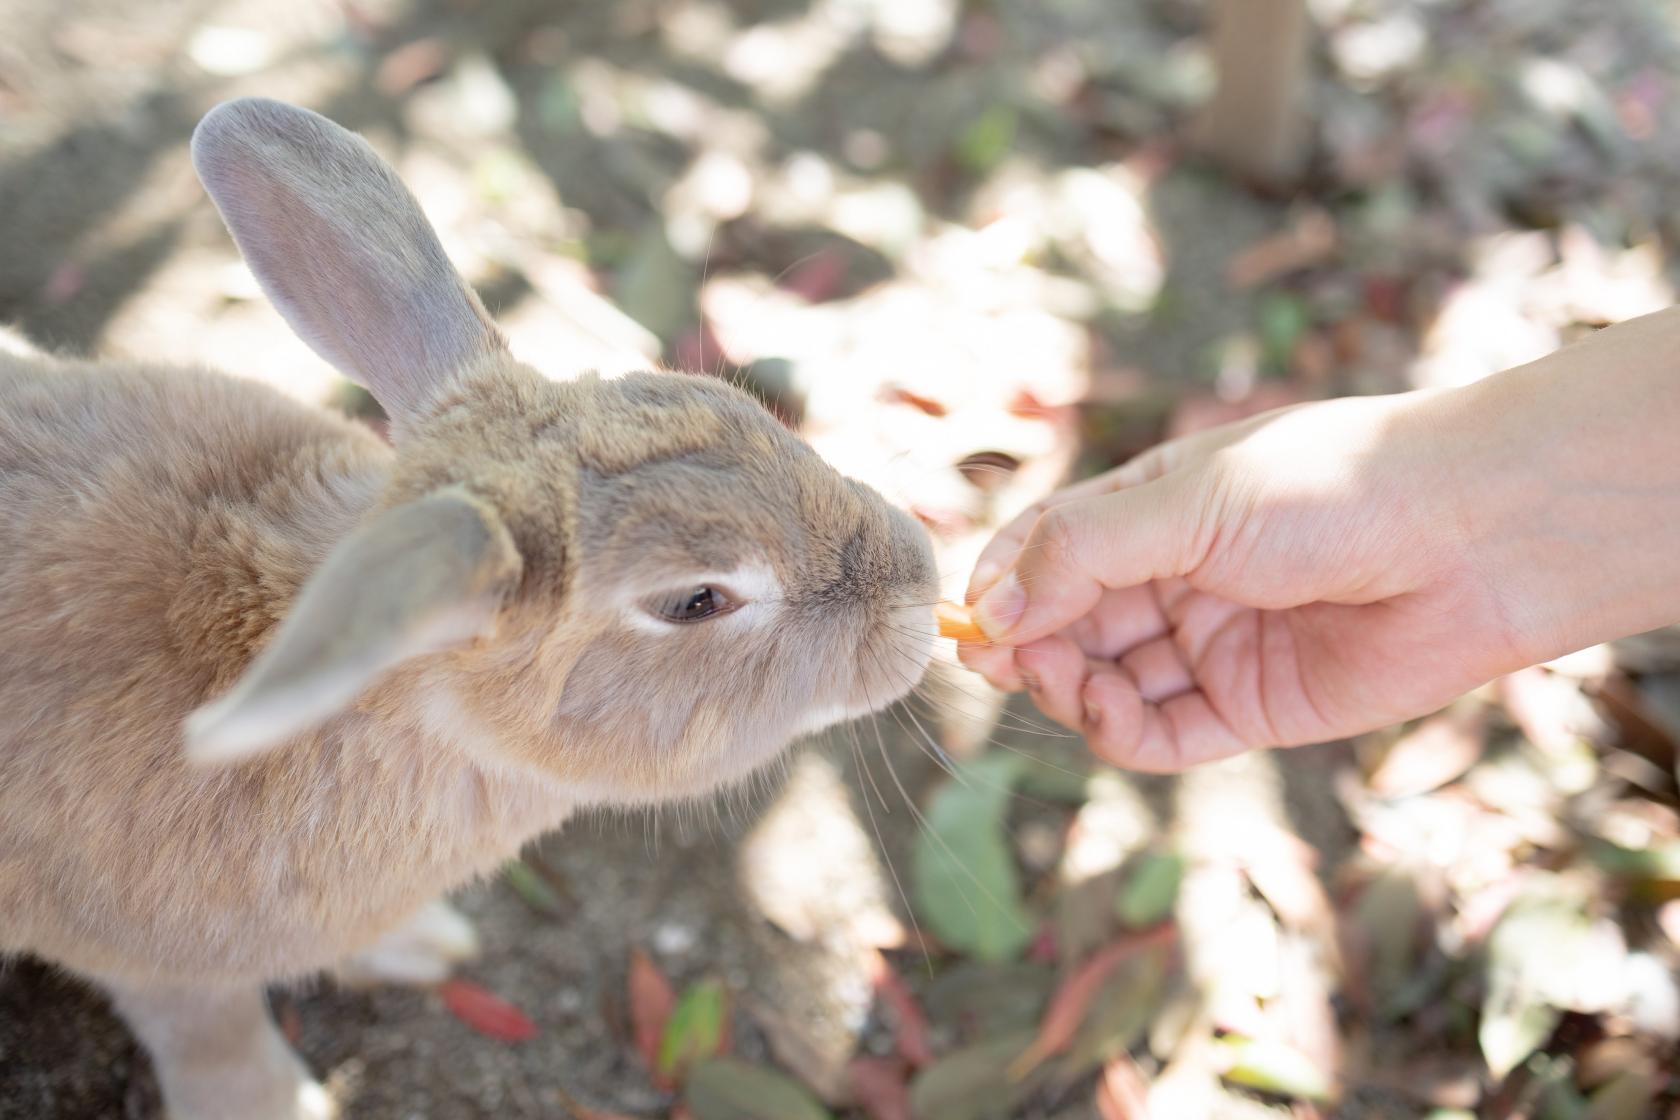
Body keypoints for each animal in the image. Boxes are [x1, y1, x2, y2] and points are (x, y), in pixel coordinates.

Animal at [0, 98, 940, 1120]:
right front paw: (280, 1103)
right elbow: (217, 1041)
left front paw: (425, 948)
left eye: (730, 405)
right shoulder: (164, 972)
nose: (921, 581)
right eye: (695, 599)